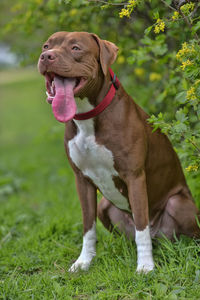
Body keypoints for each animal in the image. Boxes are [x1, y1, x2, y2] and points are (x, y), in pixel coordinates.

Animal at [38, 31, 200, 274]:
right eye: (47, 46)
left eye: (75, 48)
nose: (46, 56)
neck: (88, 117)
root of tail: (159, 236)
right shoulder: (81, 180)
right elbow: (88, 227)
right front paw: (84, 262)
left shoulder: (134, 176)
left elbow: (141, 227)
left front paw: (145, 266)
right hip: (105, 205)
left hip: (177, 203)